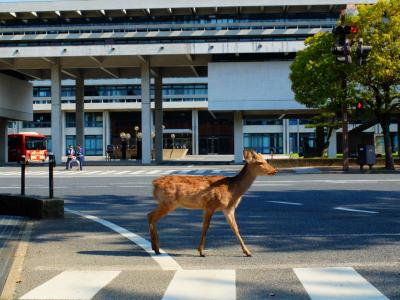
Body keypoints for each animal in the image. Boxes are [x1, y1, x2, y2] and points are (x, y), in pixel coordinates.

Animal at [148, 151, 276, 256]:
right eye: (259, 162)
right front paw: (201, 251)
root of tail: (154, 184)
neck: (233, 190)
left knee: (150, 216)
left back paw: (156, 248)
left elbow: (235, 227)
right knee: (151, 216)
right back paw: (156, 248)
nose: (275, 170)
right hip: (168, 202)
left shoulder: (228, 208)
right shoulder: (210, 205)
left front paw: (248, 252)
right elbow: (206, 226)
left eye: (266, 160)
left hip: (165, 203)